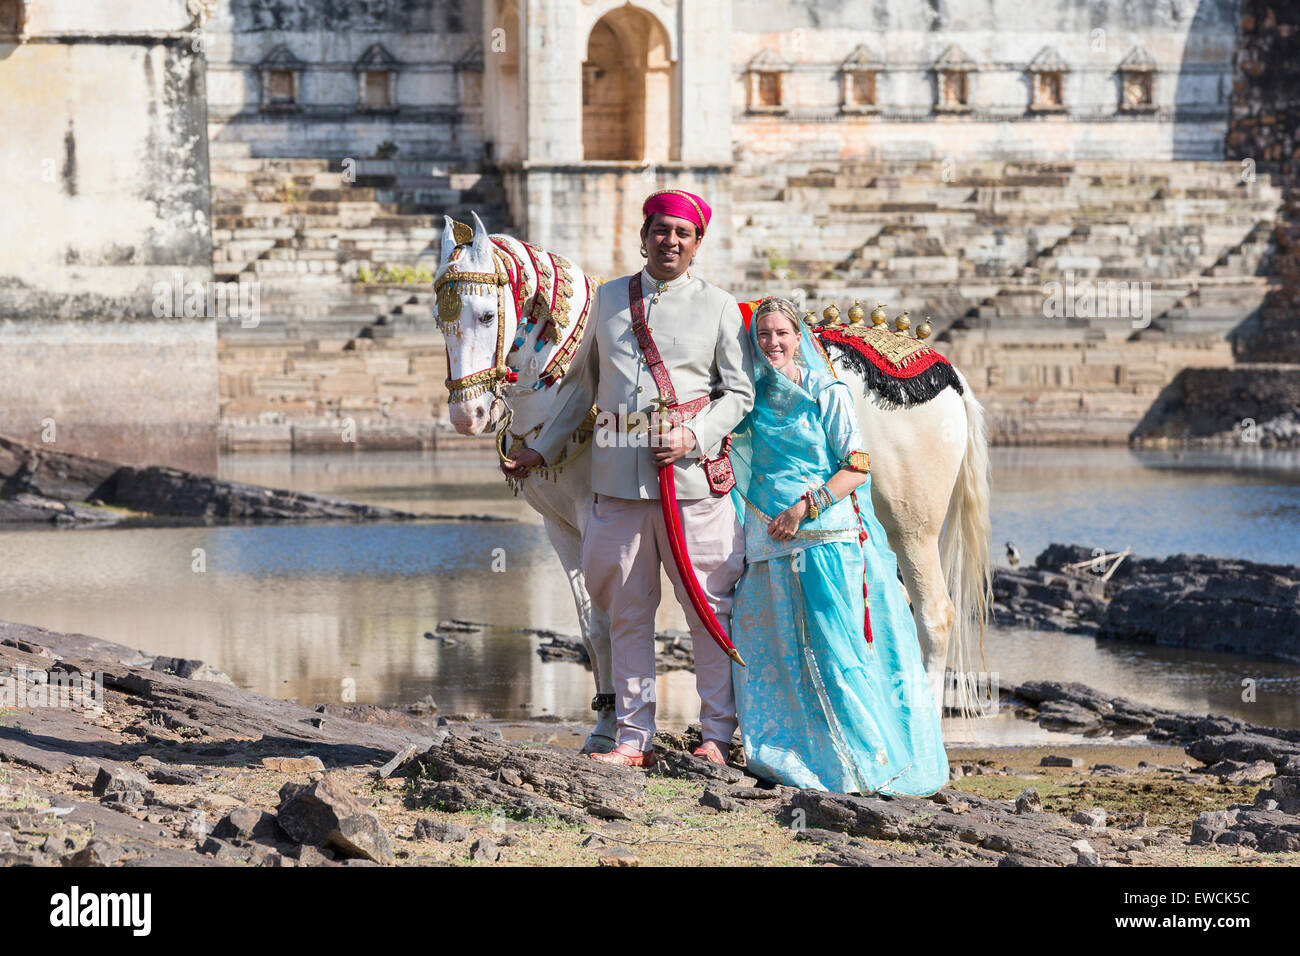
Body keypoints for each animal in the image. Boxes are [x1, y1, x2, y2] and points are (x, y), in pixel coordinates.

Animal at [436, 214, 993, 749]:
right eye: (440, 319)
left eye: (487, 316)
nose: (468, 415)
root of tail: (945, 369)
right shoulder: (563, 528)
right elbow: (594, 625)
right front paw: (604, 726)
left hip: (911, 520)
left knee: (934, 613)